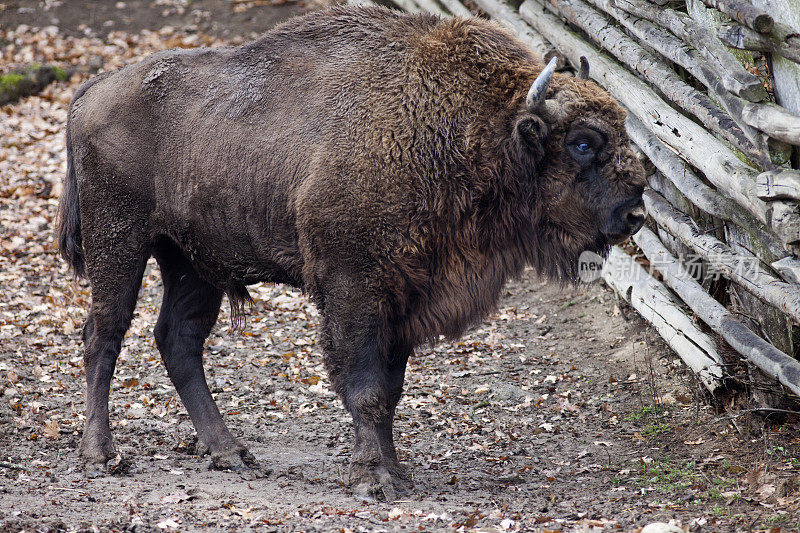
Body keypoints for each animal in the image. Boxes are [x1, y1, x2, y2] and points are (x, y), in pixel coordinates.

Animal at [54, 6, 644, 498]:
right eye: (582, 142)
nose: (634, 212)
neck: (473, 129)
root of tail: (90, 91)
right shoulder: (354, 290)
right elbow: (364, 387)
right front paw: (375, 480)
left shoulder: (404, 300)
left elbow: (391, 390)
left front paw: (396, 471)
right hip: (120, 241)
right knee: (103, 334)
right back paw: (102, 456)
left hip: (193, 260)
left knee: (178, 340)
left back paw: (231, 452)